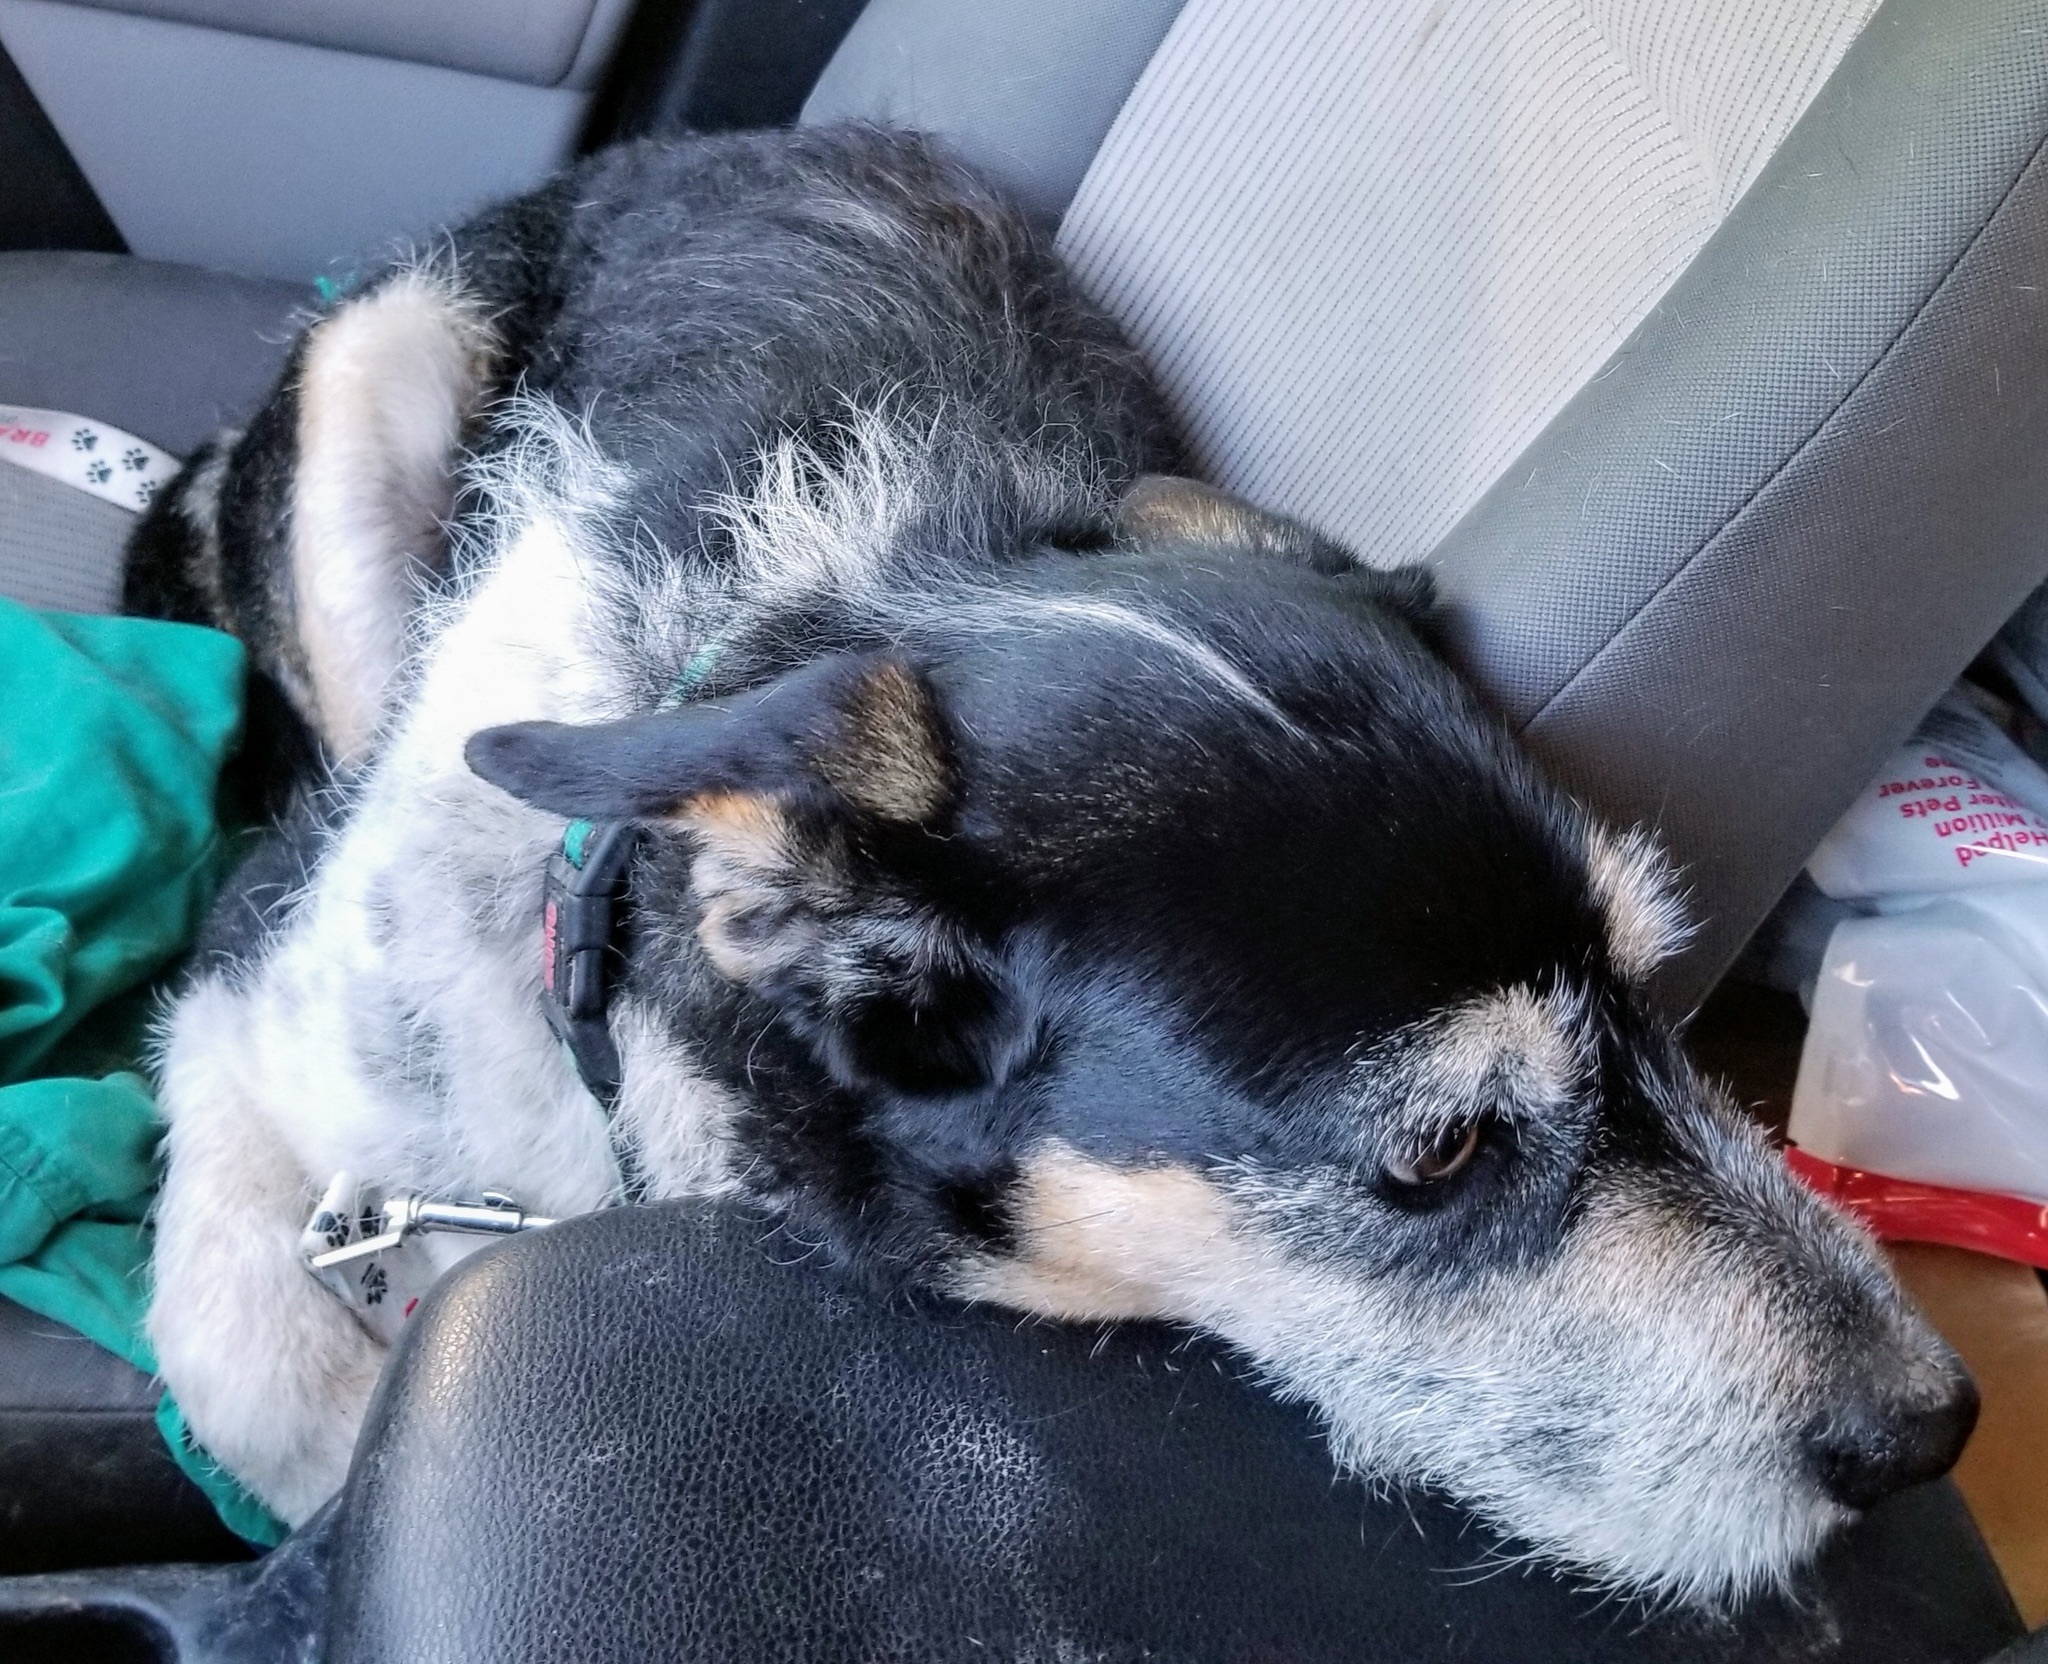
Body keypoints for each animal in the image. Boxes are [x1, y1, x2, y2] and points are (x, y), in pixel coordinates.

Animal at [123, 123, 1966, 1606]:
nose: (1935, 1424)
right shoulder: (252, 982)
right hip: (379, 375)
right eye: (1440, 1148)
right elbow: (247, 1351)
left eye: (1656, 988)